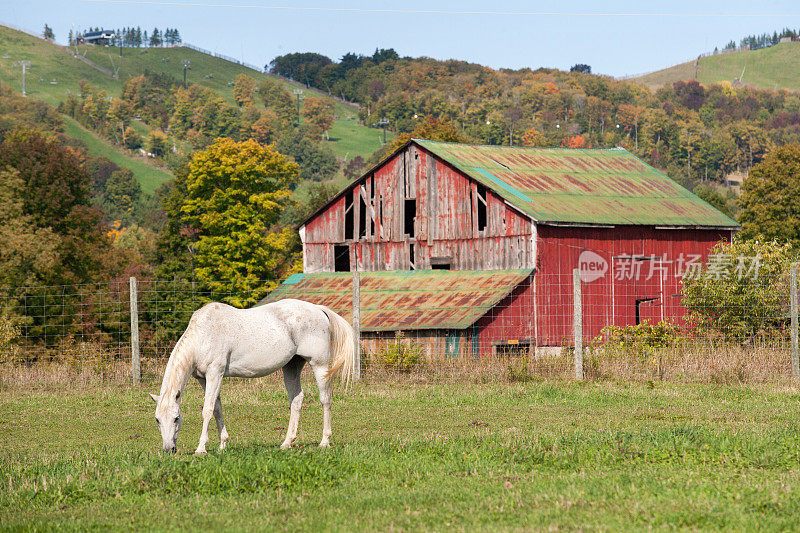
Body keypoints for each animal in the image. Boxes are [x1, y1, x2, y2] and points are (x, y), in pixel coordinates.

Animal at [148, 298, 354, 456]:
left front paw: (201, 448)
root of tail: (318, 309)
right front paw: (222, 445)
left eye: (176, 418)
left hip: (319, 365)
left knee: (325, 400)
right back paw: (287, 443)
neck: (203, 335)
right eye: (157, 420)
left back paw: (324, 441)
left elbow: (207, 409)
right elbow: (217, 409)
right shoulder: (204, 379)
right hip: (291, 367)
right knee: (296, 400)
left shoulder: (215, 373)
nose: (169, 449)